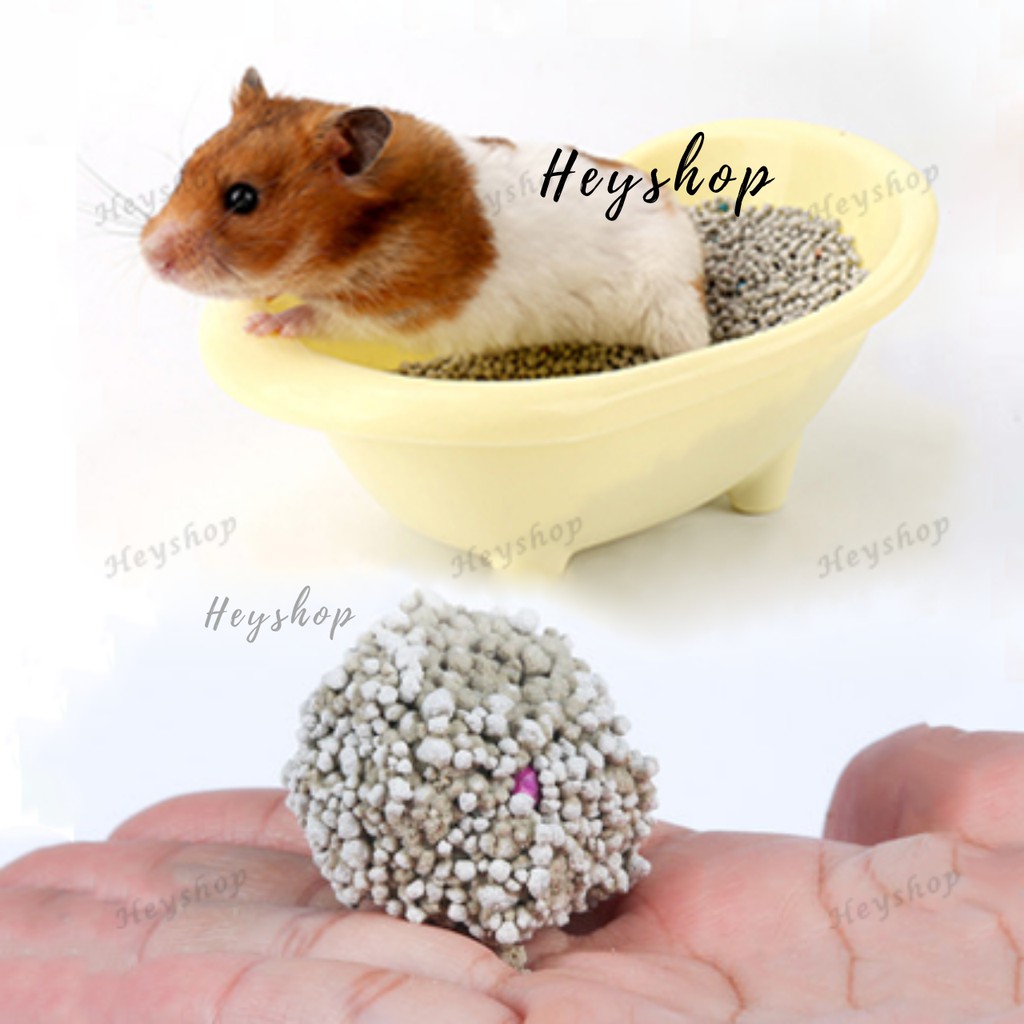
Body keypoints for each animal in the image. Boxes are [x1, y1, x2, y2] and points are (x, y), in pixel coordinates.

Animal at [141, 68, 710, 358]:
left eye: (242, 199)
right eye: (184, 171)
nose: (148, 257)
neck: (362, 238)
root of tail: (680, 221)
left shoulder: (400, 309)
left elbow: (321, 314)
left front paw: (261, 325)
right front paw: (255, 305)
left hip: (670, 311)